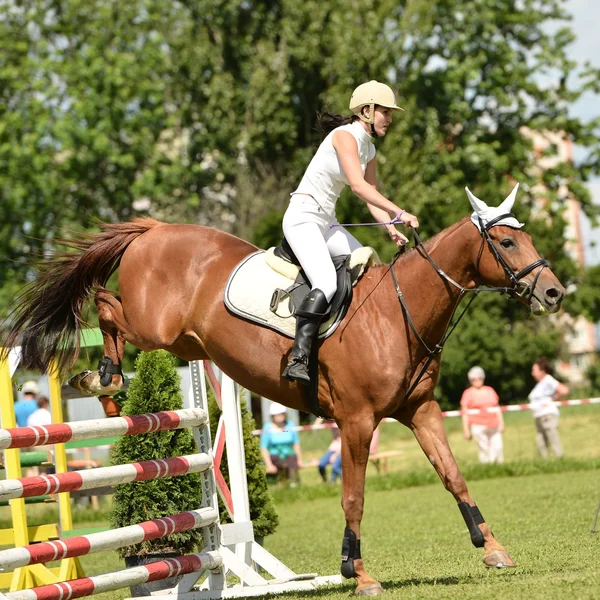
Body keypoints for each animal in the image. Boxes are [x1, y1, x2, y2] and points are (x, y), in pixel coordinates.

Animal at [4, 192, 564, 596]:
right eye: (507, 244)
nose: (554, 292)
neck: (398, 313)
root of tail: (156, 229)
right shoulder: (357, 421)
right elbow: (355, 496)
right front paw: (358, 573)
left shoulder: (420, 410)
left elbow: (454, 476)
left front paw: (492, 547)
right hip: (153, 327)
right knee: (103, 303)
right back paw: (103, 378)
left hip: (185, 342)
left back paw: (110, 392)